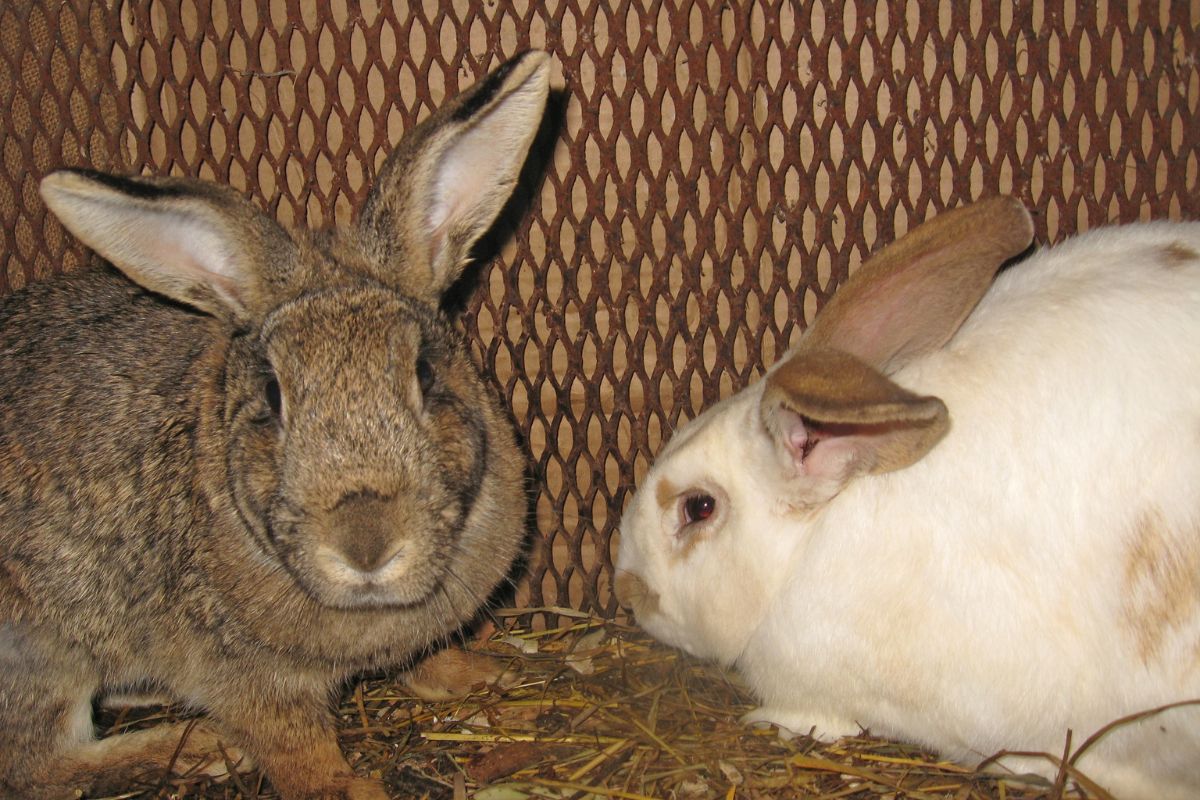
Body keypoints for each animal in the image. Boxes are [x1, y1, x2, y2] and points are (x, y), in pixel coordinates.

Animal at [0, 51, 551, 800]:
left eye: (425, 373)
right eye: (272, 394)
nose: (366, 546)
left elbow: (423, 658)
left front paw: (479, 677)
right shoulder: (245, 676)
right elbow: (291, 744)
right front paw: (347, 789)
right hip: (39, 658)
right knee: (39, 765)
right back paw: (197, 746)